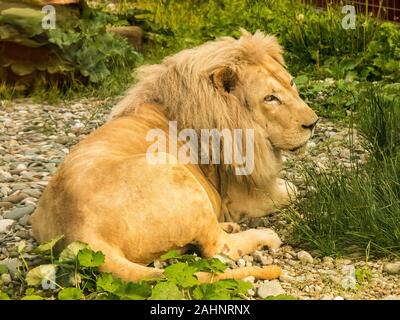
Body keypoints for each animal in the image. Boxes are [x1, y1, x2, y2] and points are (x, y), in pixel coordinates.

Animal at [30, 30, 318, 282]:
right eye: (270, 98)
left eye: (291, 83)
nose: (313, 123)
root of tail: (83, 232)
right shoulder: (241, 199)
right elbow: (292, 189)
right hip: (176, 172)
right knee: (218, 248)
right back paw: (264, 234)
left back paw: (229, 227)